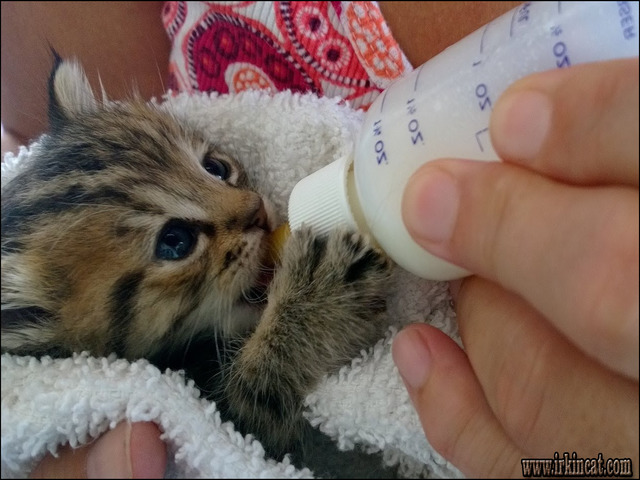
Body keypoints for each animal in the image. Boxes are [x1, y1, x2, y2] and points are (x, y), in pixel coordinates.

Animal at [0, 56, 392, 472]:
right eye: (175, 241)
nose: (258, 212)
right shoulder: (239, 429)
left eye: (216, 167)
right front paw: (318, 297)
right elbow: (258, 395)